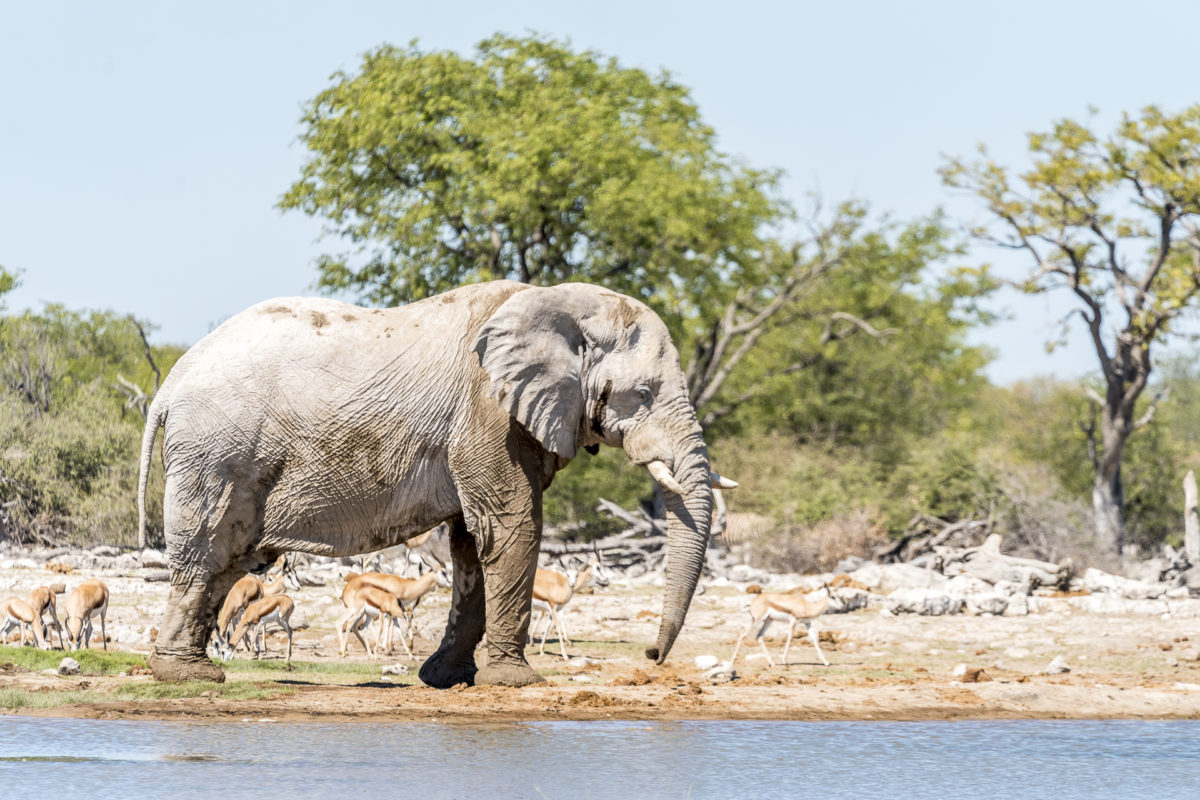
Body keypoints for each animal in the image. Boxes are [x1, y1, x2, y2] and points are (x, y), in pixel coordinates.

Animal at [140, 280, 720, 690]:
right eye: (642, 394)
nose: (652, 656)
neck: (558, 301)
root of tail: (170, 382)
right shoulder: (488, 414)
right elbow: (511, 527)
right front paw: (516, 682)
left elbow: (470, 543)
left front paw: (447, 679)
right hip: (217, 453)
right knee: (207, 554)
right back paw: (188, 676)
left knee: (228, 562)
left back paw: (193, 670)